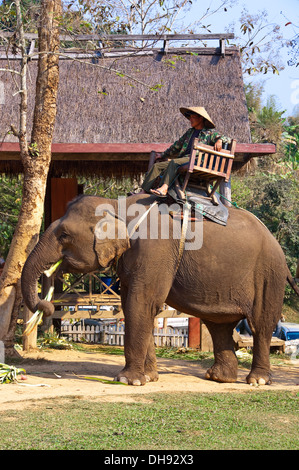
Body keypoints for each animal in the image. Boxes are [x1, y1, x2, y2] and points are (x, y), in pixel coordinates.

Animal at [20, 194, 298, 386]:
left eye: (64, 235)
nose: (46, 305)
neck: (118, 206)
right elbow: (134, 306)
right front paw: (149, 377)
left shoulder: (154, 250)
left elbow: (141, 303)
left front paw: (128, 381)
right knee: (219, 324)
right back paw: (218, 378)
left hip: (268, 274)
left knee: (260, 324)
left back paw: (257, 381)